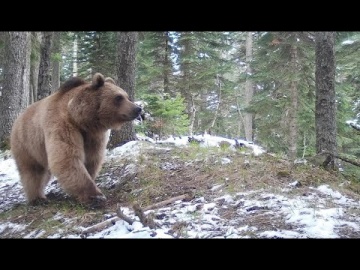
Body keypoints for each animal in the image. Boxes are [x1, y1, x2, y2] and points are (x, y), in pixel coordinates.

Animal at [9, 73, 142, 208]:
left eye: (126, 96)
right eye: (119, 97)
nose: (138, 109)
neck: (80, 119)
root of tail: (19, 117)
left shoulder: (93, 136)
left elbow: (91, 159)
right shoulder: (63, 126)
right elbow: (68, 158)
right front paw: (95, 196)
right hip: (26, 143)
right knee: (33, 171)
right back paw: (38, 198)